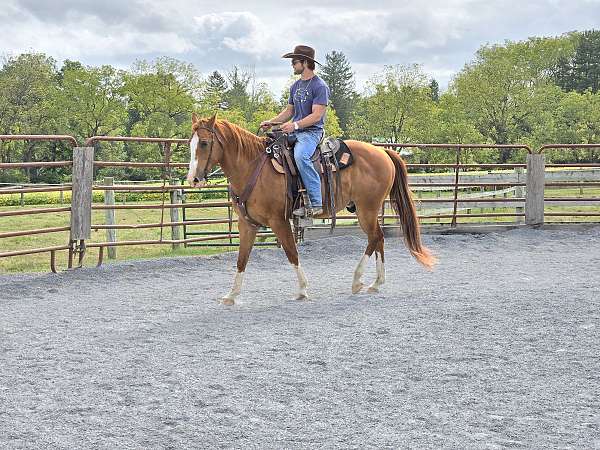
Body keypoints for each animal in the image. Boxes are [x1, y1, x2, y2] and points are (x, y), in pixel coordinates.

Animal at [188, 114, 436, 306]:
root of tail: (383, 152)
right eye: (190, 143)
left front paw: (302, 290)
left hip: (367, 208)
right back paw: (376, 283)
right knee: (379, 238)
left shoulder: (279, 221)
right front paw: (231, 295)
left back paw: (358, 281)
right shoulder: (247, 224)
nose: (193, 179)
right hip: (366, 209)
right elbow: (242, 259)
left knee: (375, 237)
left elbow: (291, 252)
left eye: (204, 143)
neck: (253, 168)